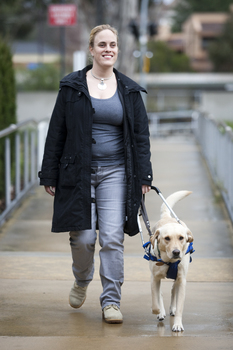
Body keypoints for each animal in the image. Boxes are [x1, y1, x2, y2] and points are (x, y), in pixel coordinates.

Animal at [149, 190, 193, 332]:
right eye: (167, 238)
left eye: (181, 238)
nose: (176, 252)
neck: (169, 261)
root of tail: (167, 217)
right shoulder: (154, 278)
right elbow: (155, 300)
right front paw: (159, 311)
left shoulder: (182, 280)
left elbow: (179, 306)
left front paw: (177, 324)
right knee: (161, 293)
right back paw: (162, 311)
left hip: (178, 278)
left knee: (174, 290)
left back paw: (172, 309)